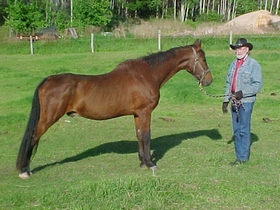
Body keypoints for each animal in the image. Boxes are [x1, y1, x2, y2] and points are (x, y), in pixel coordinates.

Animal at [15, 39, 212, 179]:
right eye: (203, 59)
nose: (209, 80)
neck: (147, 74)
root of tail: (47, 81)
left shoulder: (137, 114)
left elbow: (139, 136)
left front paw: (142, 162)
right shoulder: (145, 112)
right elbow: (146, 136)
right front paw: (150, 163)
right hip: (47, 118)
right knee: (32, 138)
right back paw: (24, 171)